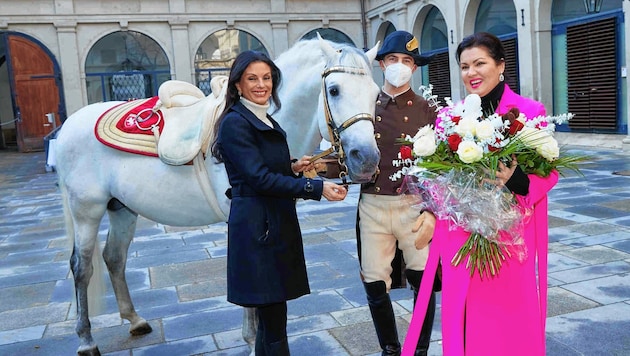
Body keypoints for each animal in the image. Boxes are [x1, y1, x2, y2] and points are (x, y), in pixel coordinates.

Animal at [55, 36, 380, 356]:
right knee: (82, 267)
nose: (366, 158)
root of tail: (69, 126)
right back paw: (86, 340)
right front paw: (252, 340)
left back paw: (135, 320)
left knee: (114, 257)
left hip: (122, 208)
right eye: (334, 90)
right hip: (86, 211)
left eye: (376, 94)